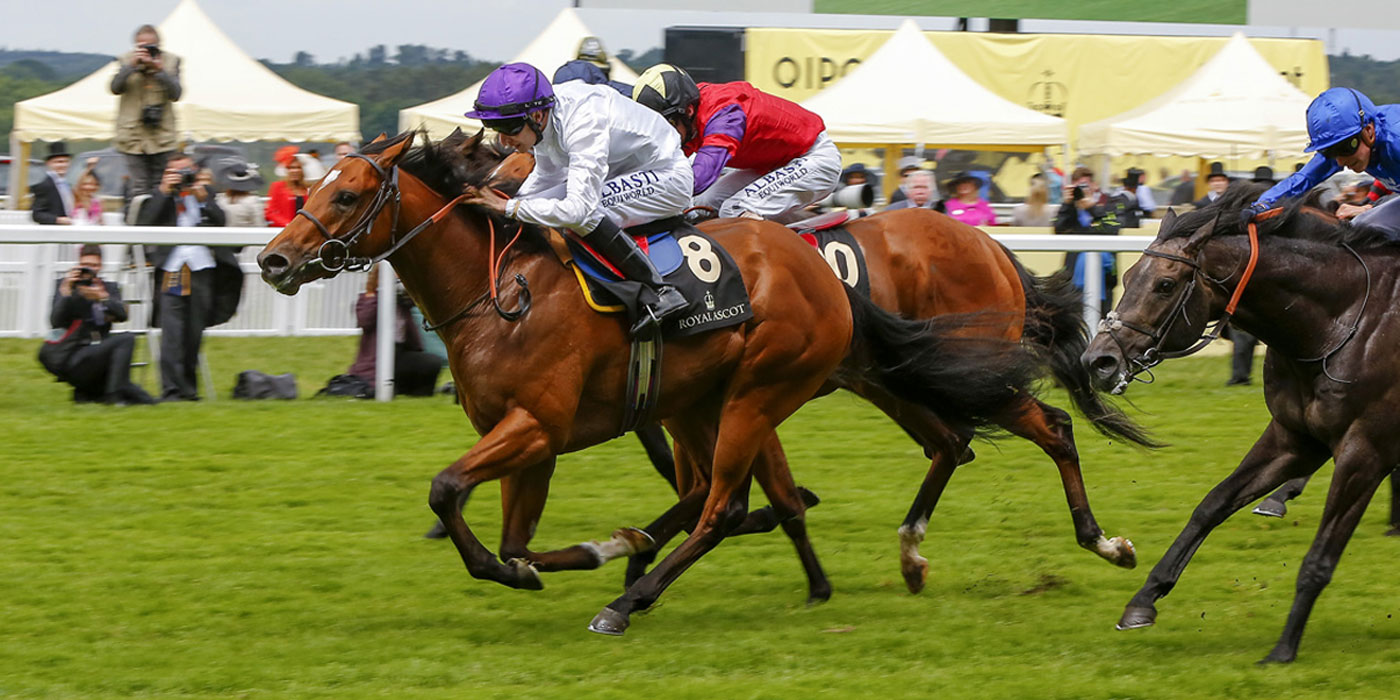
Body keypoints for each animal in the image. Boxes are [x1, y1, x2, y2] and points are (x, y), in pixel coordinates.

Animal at [257, 130, 1036, 635]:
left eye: (348, 193)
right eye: (314, 185)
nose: (272, 261)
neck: (502, 290)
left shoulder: (537, 425)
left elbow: (449, 490)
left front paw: (617, 558)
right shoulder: (536, 437)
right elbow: (514, 545)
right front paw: (602, 550)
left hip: (764, 391)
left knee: (722, 505)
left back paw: (627, 604)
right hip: (746, 395)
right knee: (940, 447)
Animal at [487, 154, 1153, 596]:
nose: (504, 197)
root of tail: (990, 245)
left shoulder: (713, 398)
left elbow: (714, 489)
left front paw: (635, 557)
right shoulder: (700, 400)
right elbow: (711, 485)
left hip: (967, 368)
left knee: (1049, 428)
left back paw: (1103, 542)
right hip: (899, 378)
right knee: (953, 444)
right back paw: (912, 553)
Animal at [1080, 184, 1400, 660]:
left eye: (1165, 284)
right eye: (1128, 275)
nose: (1098, 361)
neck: (1342, 325)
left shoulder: (1366, 452)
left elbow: (1320, 558)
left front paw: (1283, 649)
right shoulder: (1293, 438)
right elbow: (1211, 505)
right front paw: (1143, 601)